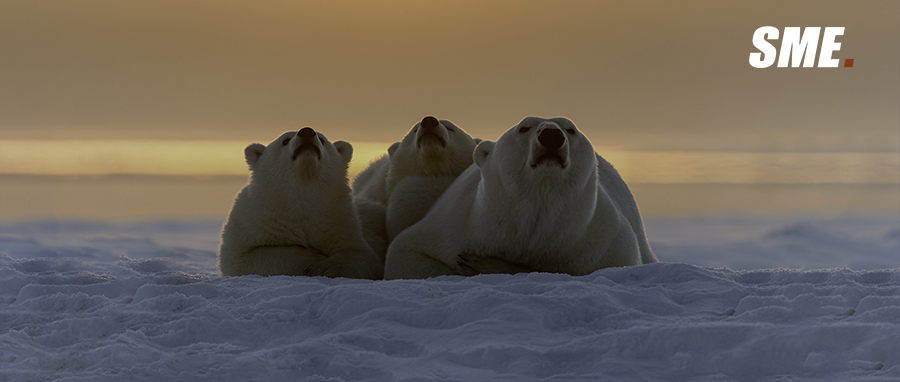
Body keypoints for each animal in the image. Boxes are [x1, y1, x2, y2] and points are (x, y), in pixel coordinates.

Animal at [222, 127, 386, 280]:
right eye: (285, 140)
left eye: (322, 139)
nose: (307, 131)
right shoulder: (252, 224)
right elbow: (248, 258)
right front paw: (314, 259)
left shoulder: (342, 225)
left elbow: (363, 256)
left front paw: (324, 268)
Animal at [384, 115, 656, 280]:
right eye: (523, 127)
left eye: (571, 129)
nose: (551, 136)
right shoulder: (459, 222)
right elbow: (405, 254)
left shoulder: (600, 240)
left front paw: (489, 265)